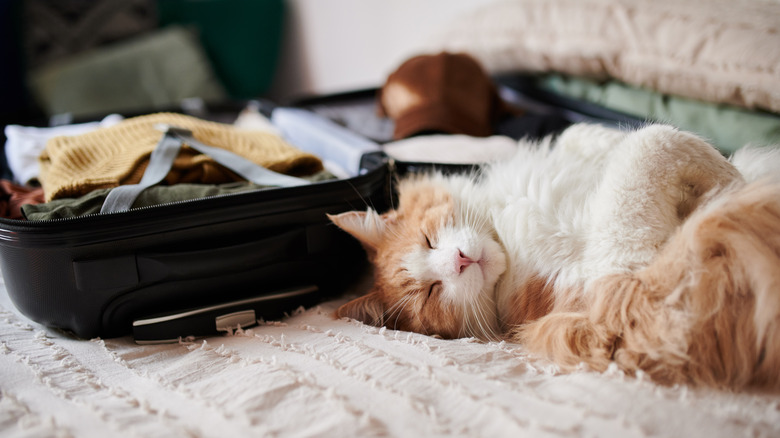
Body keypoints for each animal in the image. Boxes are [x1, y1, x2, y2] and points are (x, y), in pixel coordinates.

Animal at [328, 123, 780, 390]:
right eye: (431, 292)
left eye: (427, 239)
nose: (459, 261)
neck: (506, 236)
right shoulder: (628, 295)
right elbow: (651, 145)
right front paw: (736, 184)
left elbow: (590, 135)